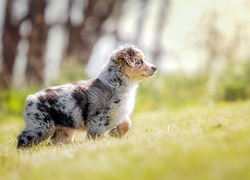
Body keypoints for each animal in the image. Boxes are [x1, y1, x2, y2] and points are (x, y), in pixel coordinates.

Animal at [17, 44, 156, 148]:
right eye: (139, 61)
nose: (154, 67)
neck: (118, 83)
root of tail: (30, 98)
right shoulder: (99, 118)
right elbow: (96, 135)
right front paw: (97, 145)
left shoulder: (118, 112)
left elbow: (127, 122)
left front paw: (115, 133)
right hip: (41, 126)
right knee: (23, 139)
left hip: (64, 132)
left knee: (53, 143)